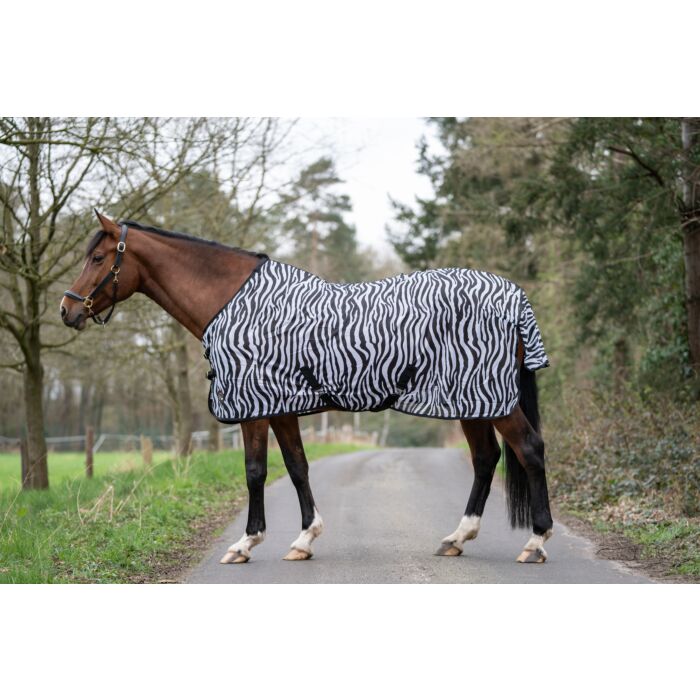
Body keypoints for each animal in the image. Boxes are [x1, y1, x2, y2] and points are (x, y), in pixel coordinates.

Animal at [61, 211, 554, 565]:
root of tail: (514, 296)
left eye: (99, 259)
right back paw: (457, 537)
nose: (68, 310)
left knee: (529, 449)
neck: (234, 304)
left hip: (489, 400)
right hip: (470, 401)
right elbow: (297, 467)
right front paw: (304, 539)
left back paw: (536, 542)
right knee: (486, 458)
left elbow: (255, 470)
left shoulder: (256, 406)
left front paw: (246, 543)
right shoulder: (281, 407)